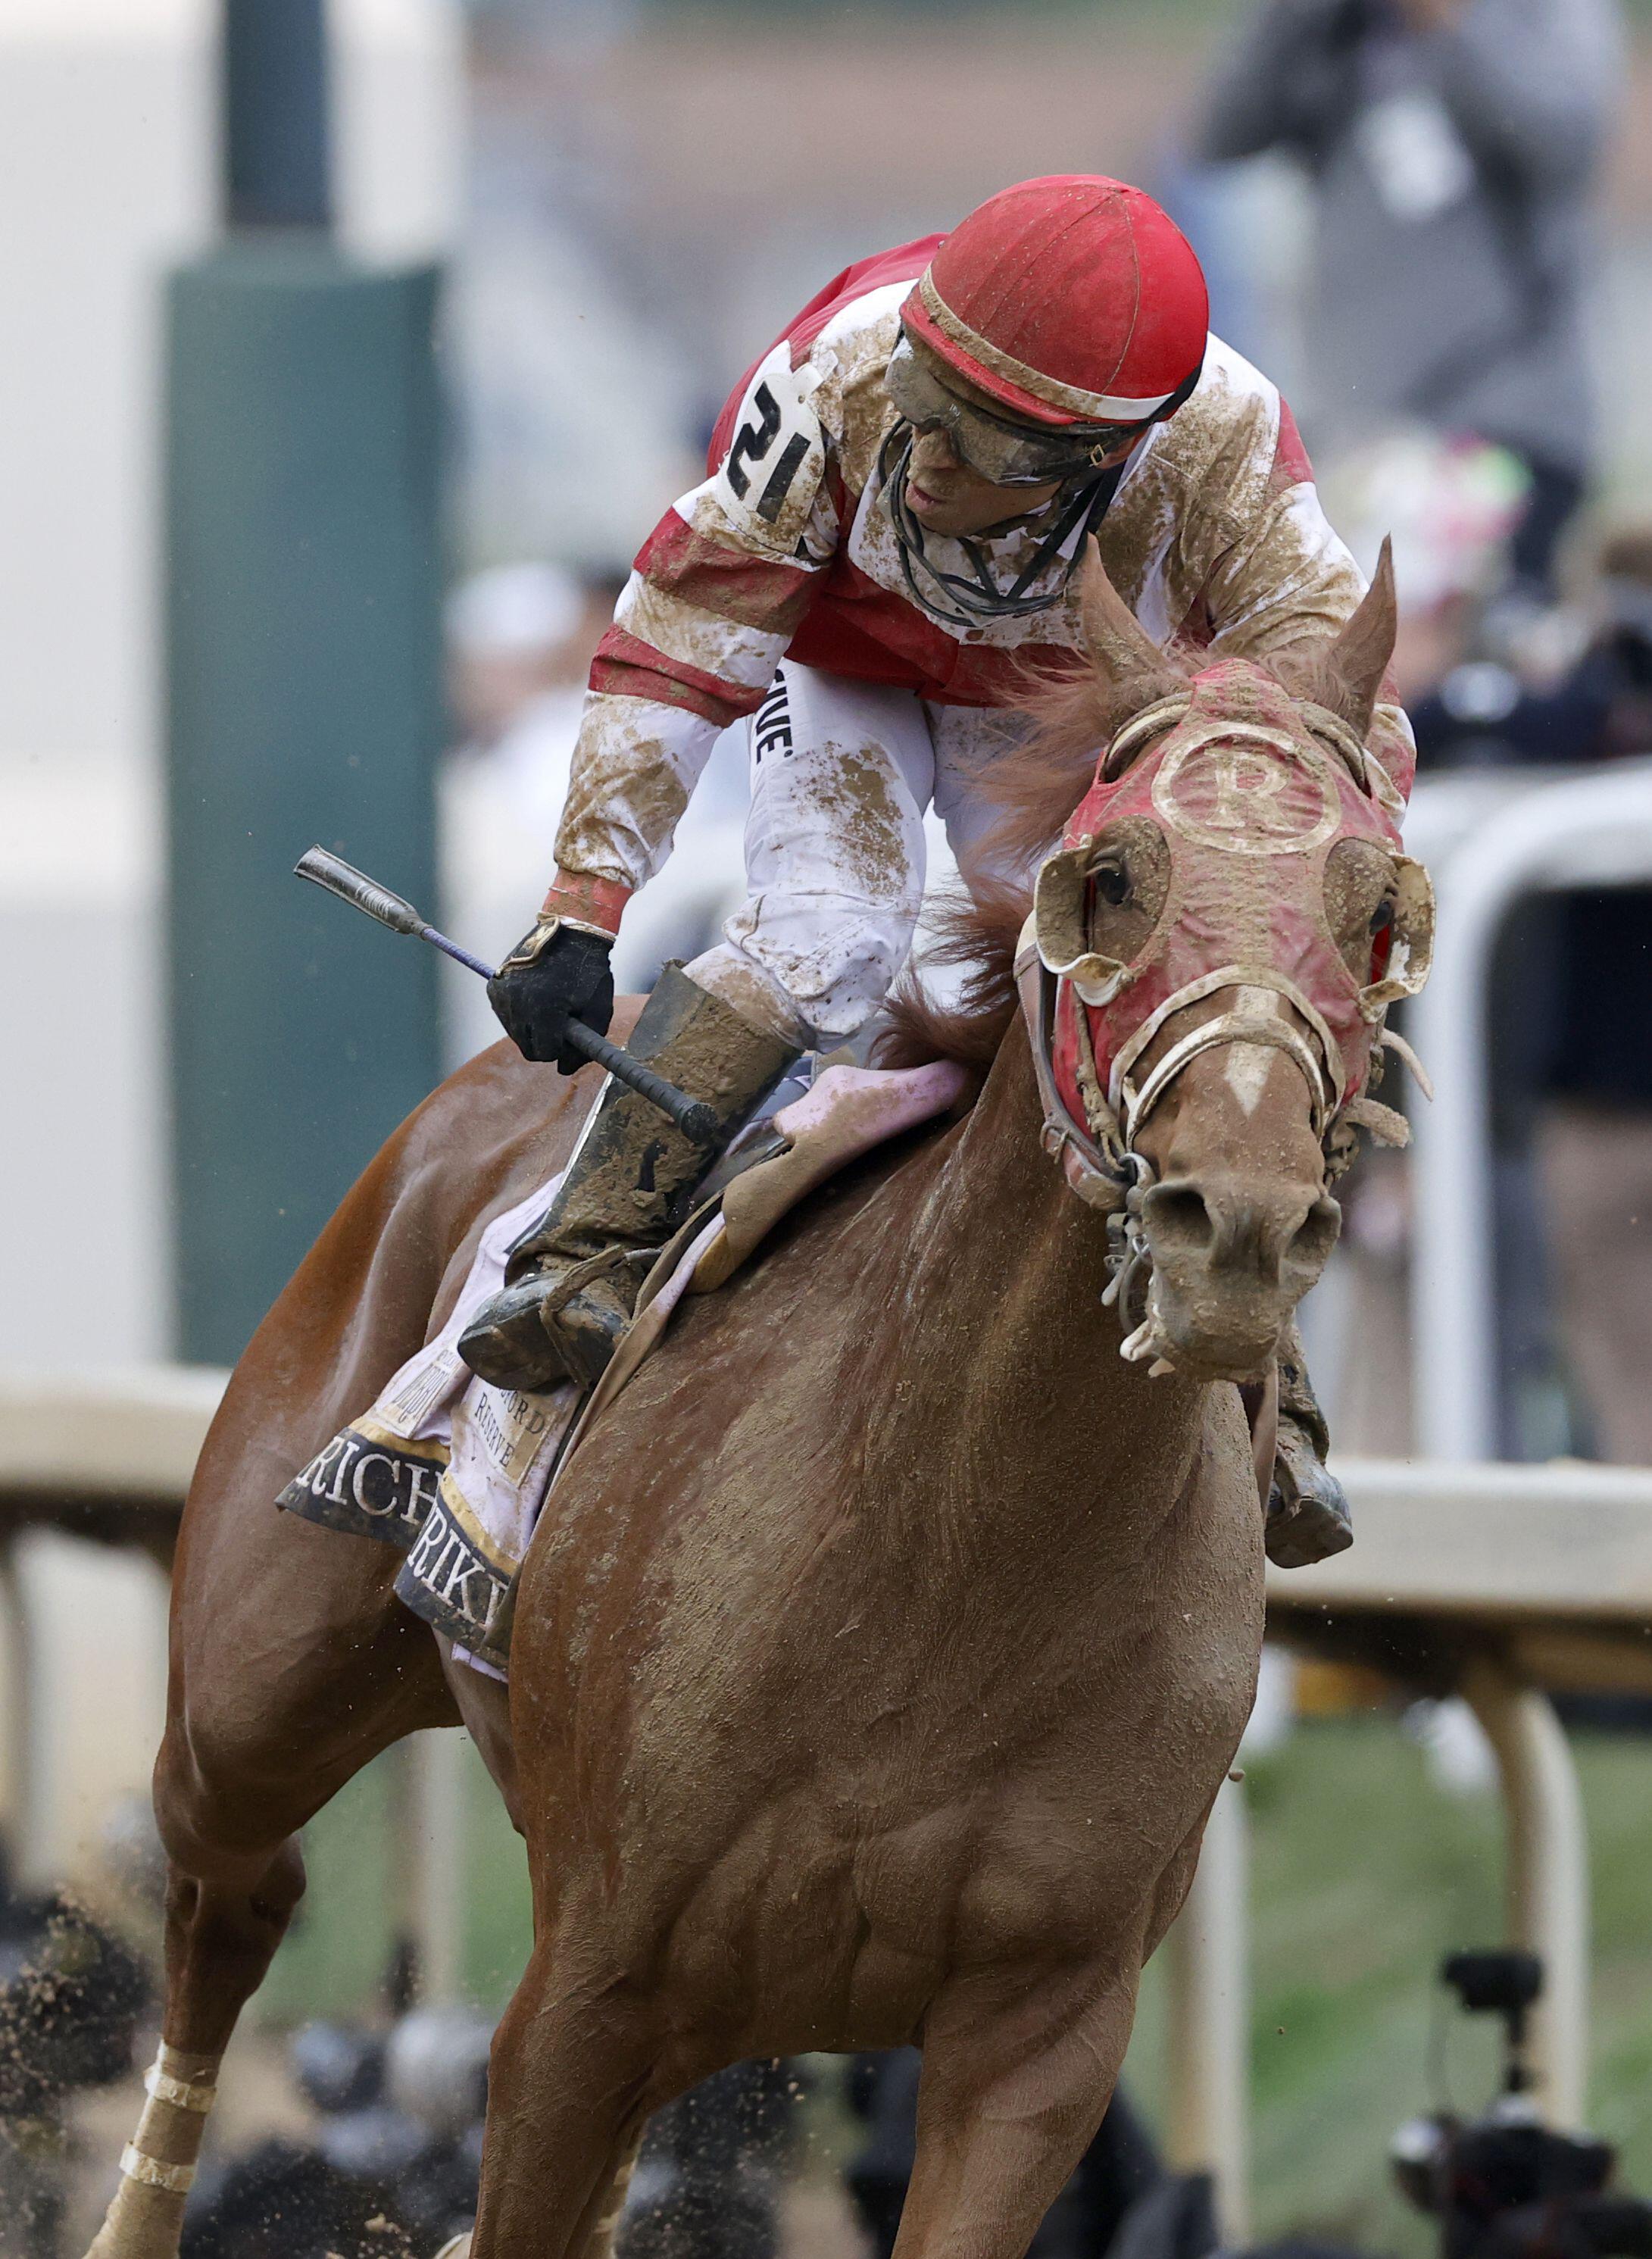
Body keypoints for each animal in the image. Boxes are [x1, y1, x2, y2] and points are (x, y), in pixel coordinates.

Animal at [86, 560, 1410, 2259]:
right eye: (1109, 882)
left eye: (1376, 912)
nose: (1232, 1227)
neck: (961, 1536)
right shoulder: (583, 1990)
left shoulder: (1038, 2036)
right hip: (252, 1699)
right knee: (228, 1901)